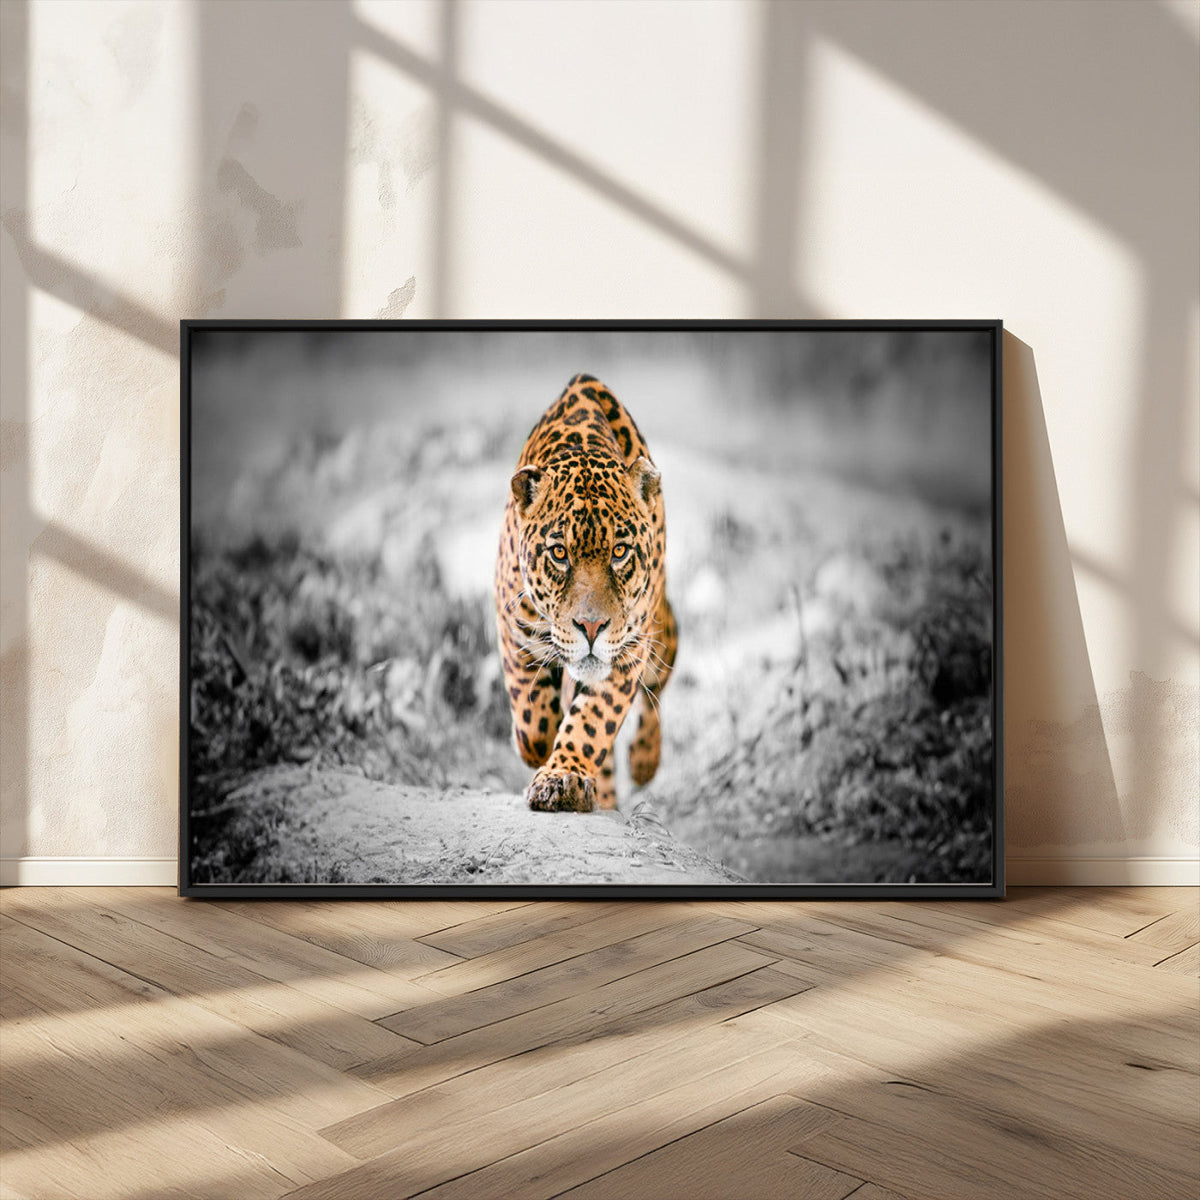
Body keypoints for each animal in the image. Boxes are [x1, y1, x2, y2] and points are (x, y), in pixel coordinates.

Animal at [493, 373, 678, 813]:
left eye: (620, 551)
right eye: (559, 553)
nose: (591, 628)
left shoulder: (628, 650)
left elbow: (593, 720)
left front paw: (563, 777)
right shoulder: (512, 626)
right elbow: (533, 718)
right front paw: (539, 751)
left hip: (661, 634)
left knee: (657, 687)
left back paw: (643, 761)